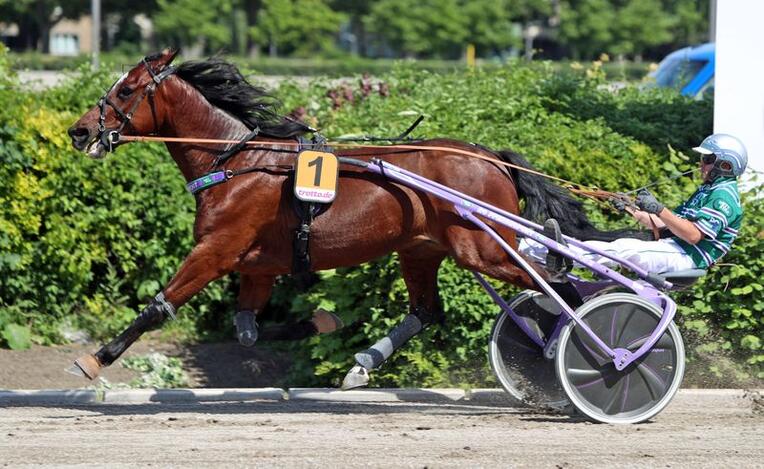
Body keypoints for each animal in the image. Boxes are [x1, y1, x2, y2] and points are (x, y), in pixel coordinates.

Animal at [68, 50, 648, 388]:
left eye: (124, 90)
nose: (79, 131)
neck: (235, 161)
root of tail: (491, 158)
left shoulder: (216, 251)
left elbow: (158, 307)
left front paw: (96, 358)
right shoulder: (258, 266)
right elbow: (250, 331)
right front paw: (324, 323)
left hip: (481, 248)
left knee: (556, 282)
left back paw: (598, 356)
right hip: (422, 249)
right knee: (428, 311)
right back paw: (364, 363)